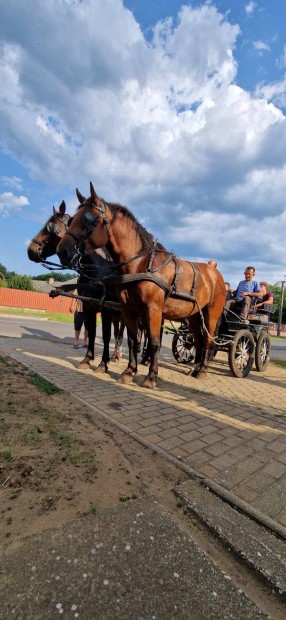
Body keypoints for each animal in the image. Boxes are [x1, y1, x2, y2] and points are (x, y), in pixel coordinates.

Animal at [26, 201, 125, 370]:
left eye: (50, 229)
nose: (31, 251)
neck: (98, 269)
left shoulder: (105, 308)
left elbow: (105, 335)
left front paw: (102, 363)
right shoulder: (88, 305)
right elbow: (91, 332)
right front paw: (87, 359)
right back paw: (116, 355)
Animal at [56, 182, 226, 390]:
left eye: (89, 220)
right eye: (72, 219)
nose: (63, 251)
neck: (141, 263)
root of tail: (215, 274)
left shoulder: (153, 310)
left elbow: (153, 343)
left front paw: (151, 377)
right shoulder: (129, 310)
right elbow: (131, 340)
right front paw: (129, 372)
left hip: (211, 315)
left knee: (208, 339)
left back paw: (201, 370)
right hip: (193, 316)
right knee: (199, 340)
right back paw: (193, 369)